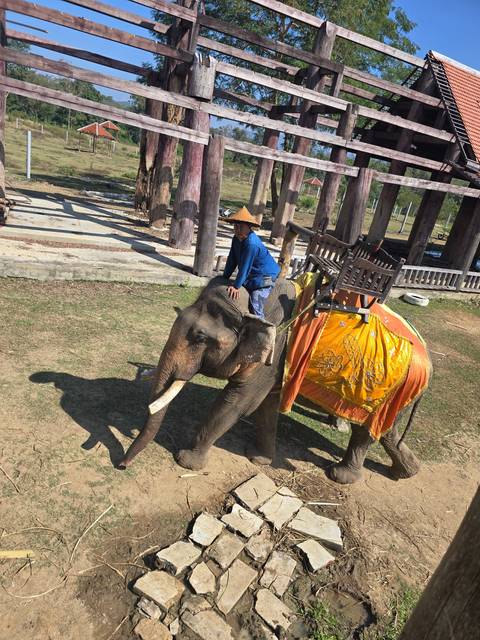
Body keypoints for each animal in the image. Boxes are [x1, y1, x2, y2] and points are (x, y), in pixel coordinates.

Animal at [119, 276, 424, 484]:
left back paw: (340, 475)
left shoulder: (274, 353)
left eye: (200, 337)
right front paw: (259, 459)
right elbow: (266, 405)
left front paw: (186, 462)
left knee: (366, 432)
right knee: (386, 431)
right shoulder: (278, 365)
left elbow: (239, 402)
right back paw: (406, 472)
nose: (121, 465)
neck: (255, 302)